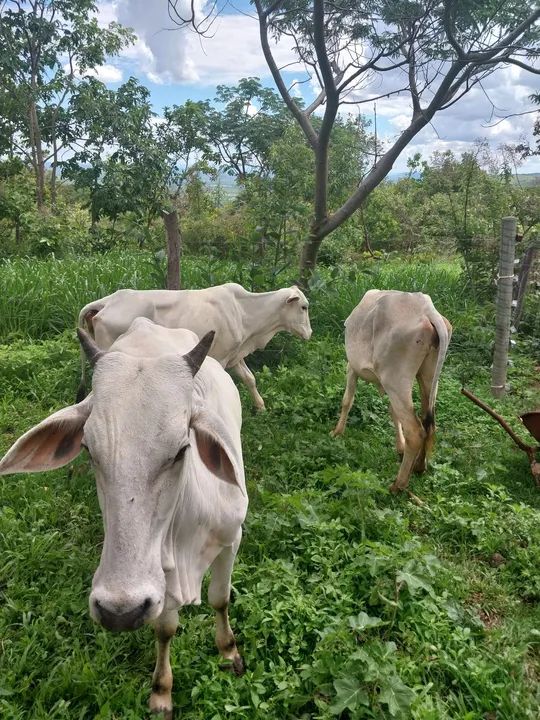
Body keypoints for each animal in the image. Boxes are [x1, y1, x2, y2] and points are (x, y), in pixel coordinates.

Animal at [0, 319, 249, 719]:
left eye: (182, 449)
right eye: (88, 449)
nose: (119, 611)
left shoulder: (232, 539)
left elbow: (220, 599)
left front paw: (229, 652)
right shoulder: (159, 581)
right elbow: (165, 629)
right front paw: (162, 692)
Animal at [77, 283, 312, 410]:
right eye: (303, 307)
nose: (309, 333)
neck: (244, 311)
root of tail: (106, 302)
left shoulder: (235, 355)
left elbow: (250, 379)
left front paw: (260, 406)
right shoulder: (220, 358)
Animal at [331, 290, 452, 493]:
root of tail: (427, 310)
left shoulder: (351, 367)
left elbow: (347, 399)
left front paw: (337, 432)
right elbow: (393, 412)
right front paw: (399, 447)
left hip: (396, 382)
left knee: (415, 431)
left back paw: (398, 485)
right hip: (427, 378)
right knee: (428, 424)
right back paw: (419, 466)